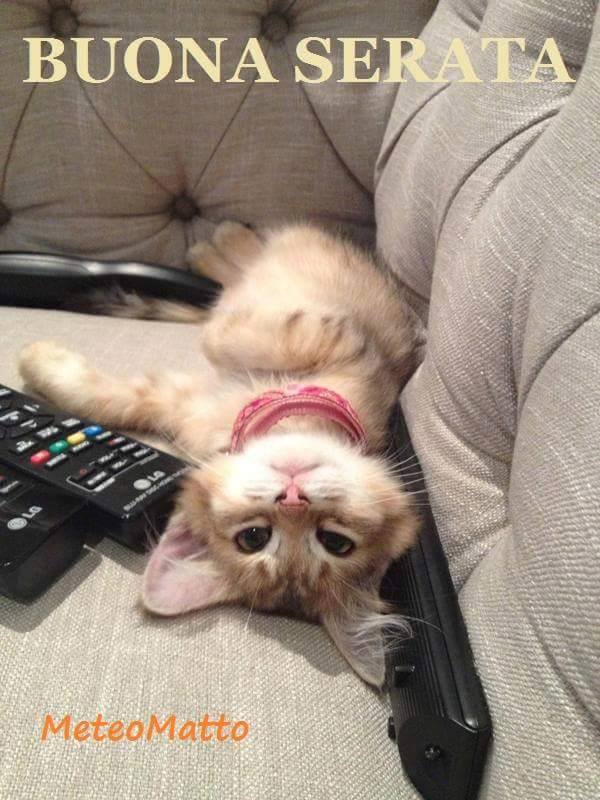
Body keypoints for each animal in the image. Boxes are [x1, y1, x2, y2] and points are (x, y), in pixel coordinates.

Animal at [18, 222, 420, 686]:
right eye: (254, 537)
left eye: (335, 542)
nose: (293, 497)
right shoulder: (179, 401)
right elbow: (114, 399)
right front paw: (37, 362)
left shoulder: (350, 349)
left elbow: (234, 336)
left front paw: (224, 324)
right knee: (238, 270)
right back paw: (220, 248)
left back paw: (220, 243)